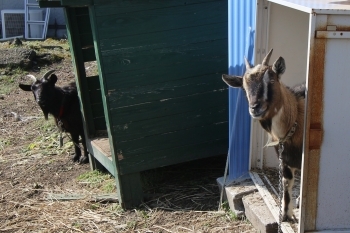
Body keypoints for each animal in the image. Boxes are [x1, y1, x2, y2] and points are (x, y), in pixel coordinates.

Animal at [223, 48, 304, 220]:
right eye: (244, 87)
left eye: (272, 80)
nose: (255, 107)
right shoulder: (284, 160)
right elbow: (286, 183)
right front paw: (285, 216)